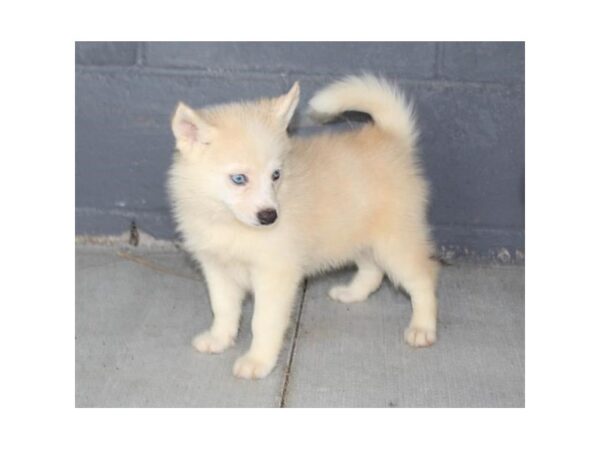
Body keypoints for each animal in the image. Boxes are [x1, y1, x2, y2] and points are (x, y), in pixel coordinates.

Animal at [166, 75, 438, 378]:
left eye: (276, 175)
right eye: (239, 178)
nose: (270, 216)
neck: (230, 223)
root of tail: (392, 138)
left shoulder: (274, 276)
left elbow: (262, 322)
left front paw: (257, 361)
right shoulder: (216, 269)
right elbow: (223, 309)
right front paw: (218, 339)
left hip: (395, 244)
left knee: (424, 279)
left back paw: (423, 328)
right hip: (359, 238)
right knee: (373, 271)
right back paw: (352, 293)